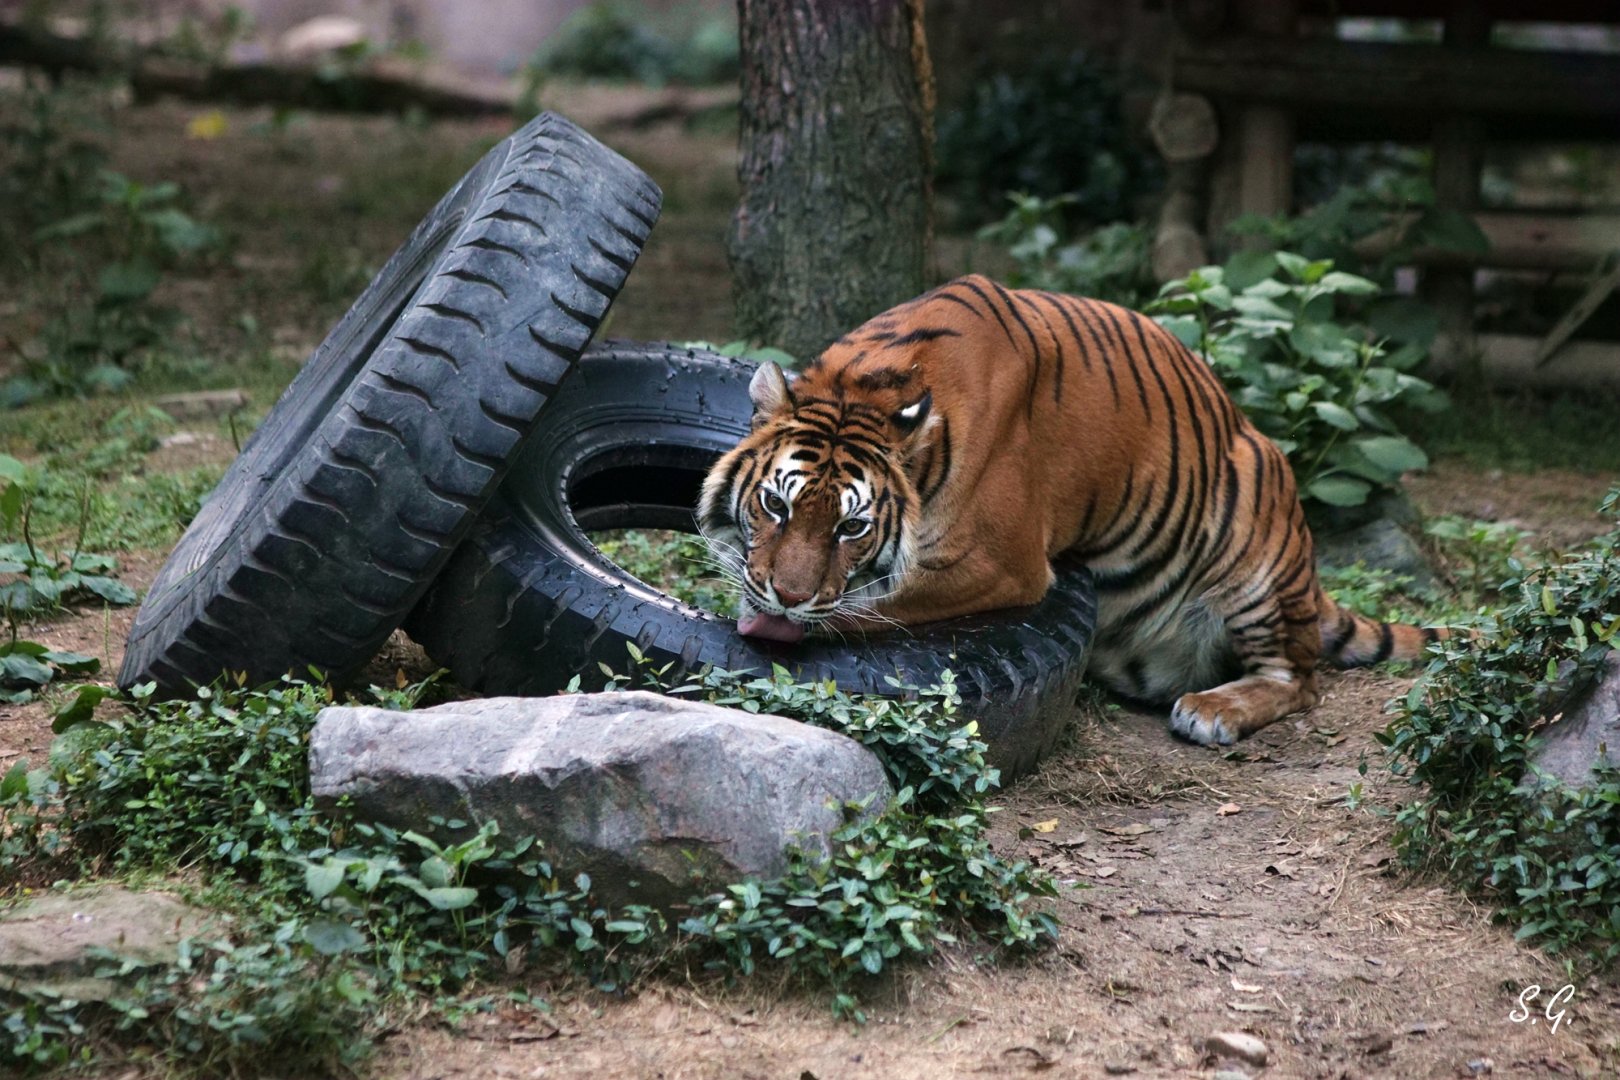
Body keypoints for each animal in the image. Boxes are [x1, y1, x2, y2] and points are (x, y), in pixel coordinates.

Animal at [696, 274, 1442, 745]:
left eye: (852, 527)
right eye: (775, 504)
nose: (788, 597)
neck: (871, 383)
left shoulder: (1001, 566)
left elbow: (872, 604)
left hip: (1256, 528)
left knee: (1300, 679)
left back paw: (1213, 711)